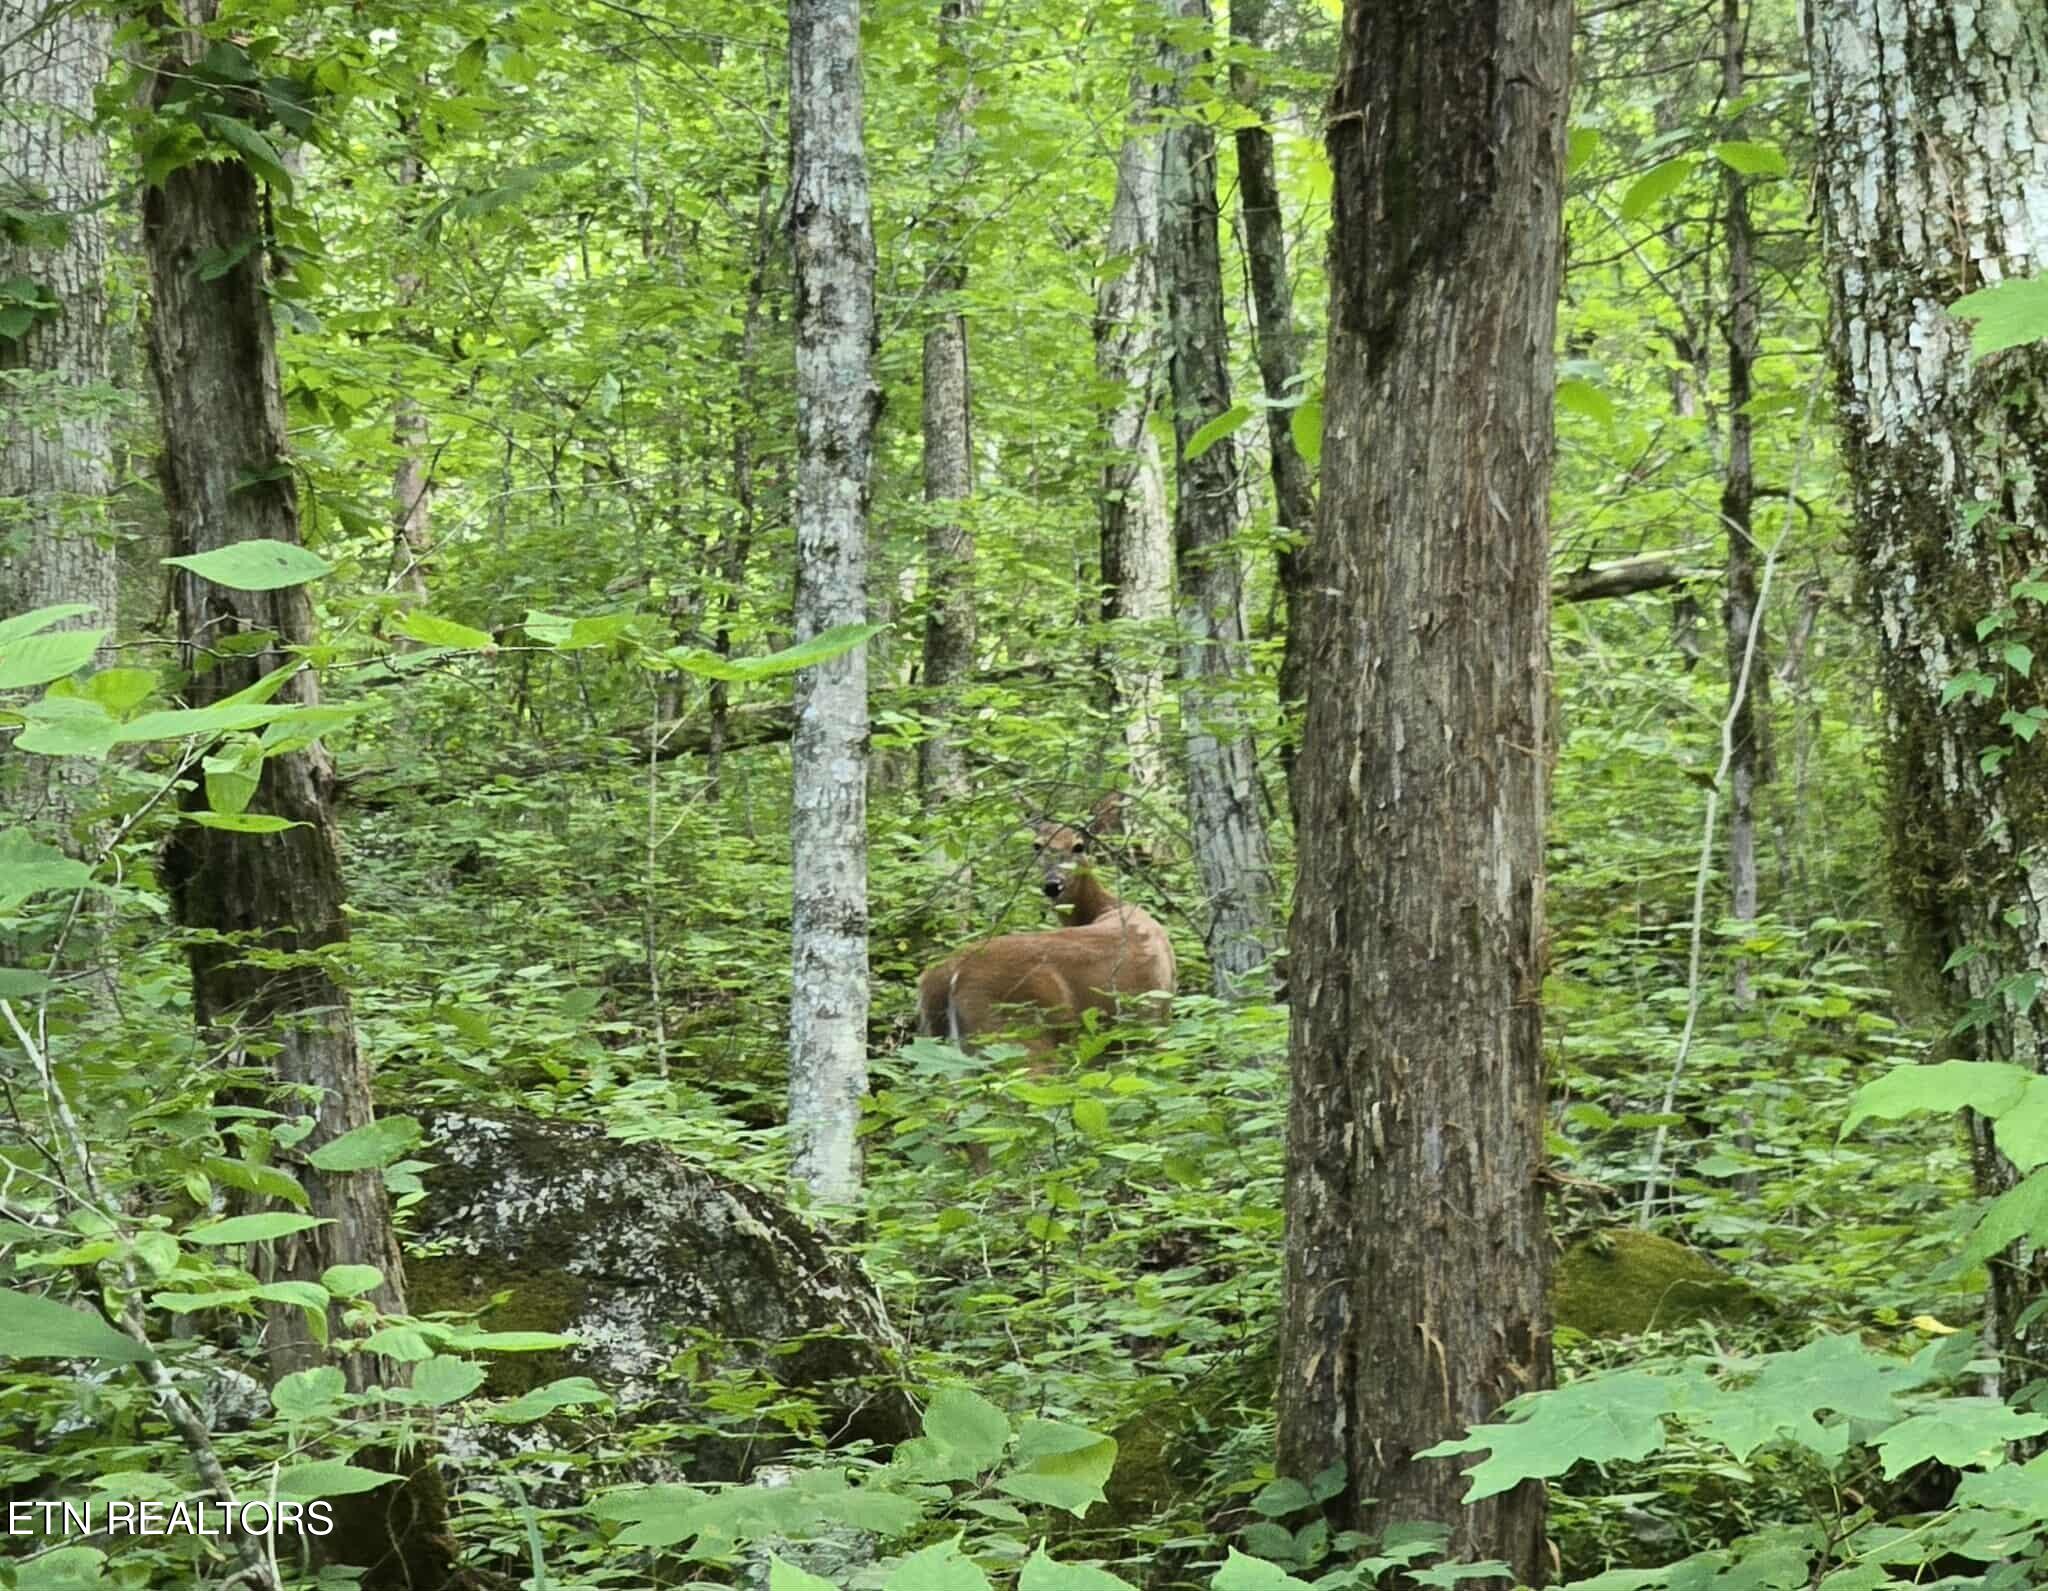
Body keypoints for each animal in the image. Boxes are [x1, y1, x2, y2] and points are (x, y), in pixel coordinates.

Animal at [915, 799, 1176, 1059]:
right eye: (1037, 845)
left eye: (1078, 846)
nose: (1053, 884)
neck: (1106, 907)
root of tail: (953, 972)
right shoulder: (1156, 1019)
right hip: (1015, 1034)